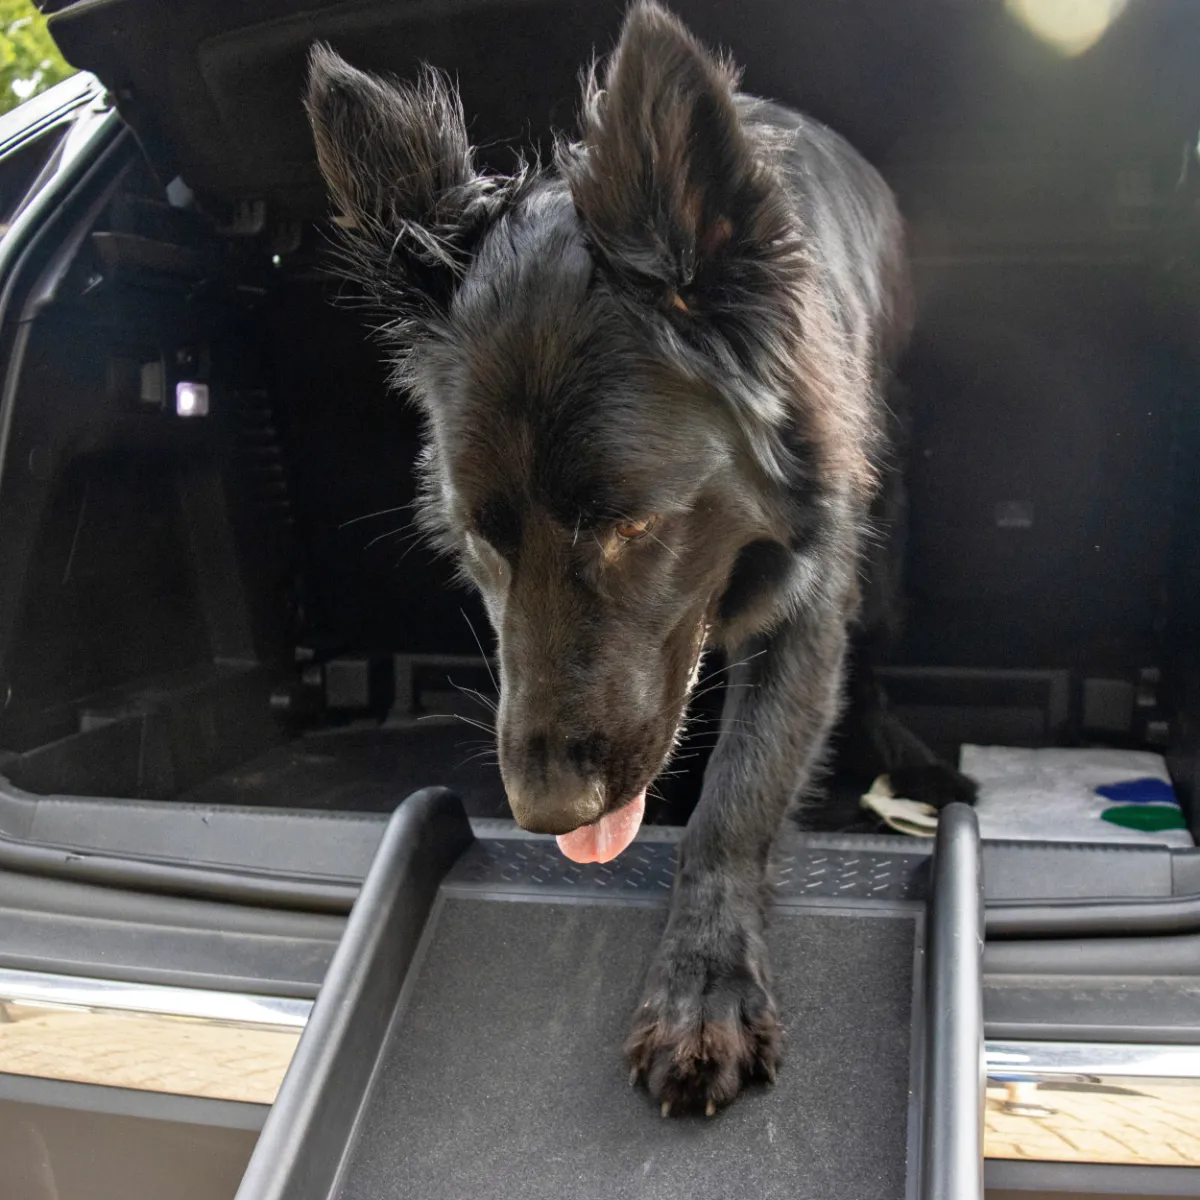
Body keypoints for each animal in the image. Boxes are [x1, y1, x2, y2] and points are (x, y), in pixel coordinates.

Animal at [309, 4, 964, 1113]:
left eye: (632, 527)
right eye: (480, 538)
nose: (546, 814)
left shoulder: (808, 599)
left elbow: (740, 791)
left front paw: (705, 985)